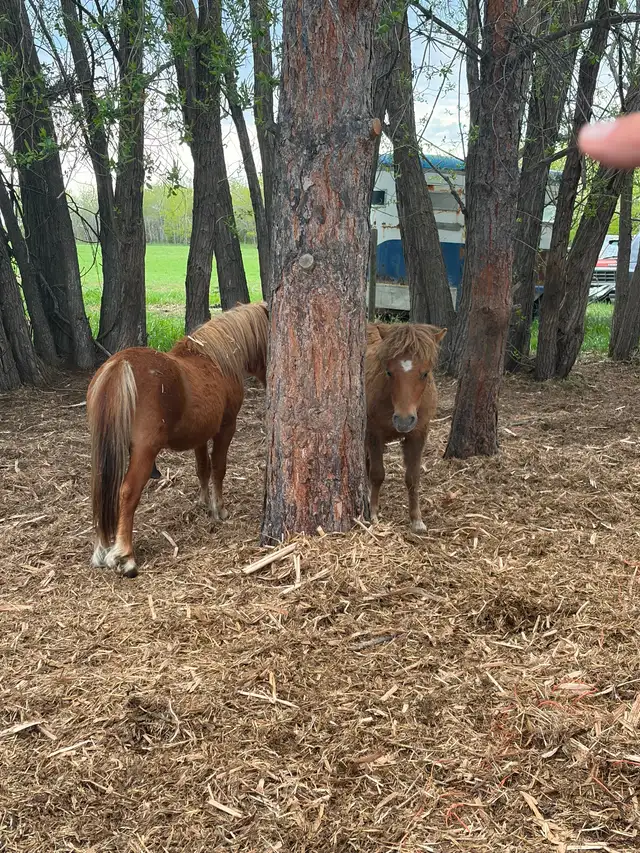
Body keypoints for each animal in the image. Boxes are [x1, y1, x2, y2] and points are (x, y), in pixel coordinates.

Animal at [86, 301, 269, 578]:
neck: (215, 359)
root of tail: (120, 364)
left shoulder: (200, 436)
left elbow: (203, 468)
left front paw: (204, 503)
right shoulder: (226, 428)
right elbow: (219, 468)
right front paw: (219, 508)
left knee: (102, 490)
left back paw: (101, 550)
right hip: (144, 452)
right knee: (126, 493)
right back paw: (125, 556)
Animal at [365, 321, 446, 533]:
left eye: (425, 373)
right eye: (389, 372)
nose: (403, 421)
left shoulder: (418, 434)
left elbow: (413, 478)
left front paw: (416, 519)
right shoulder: (374, 433)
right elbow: (377, 474)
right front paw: (373, 511)